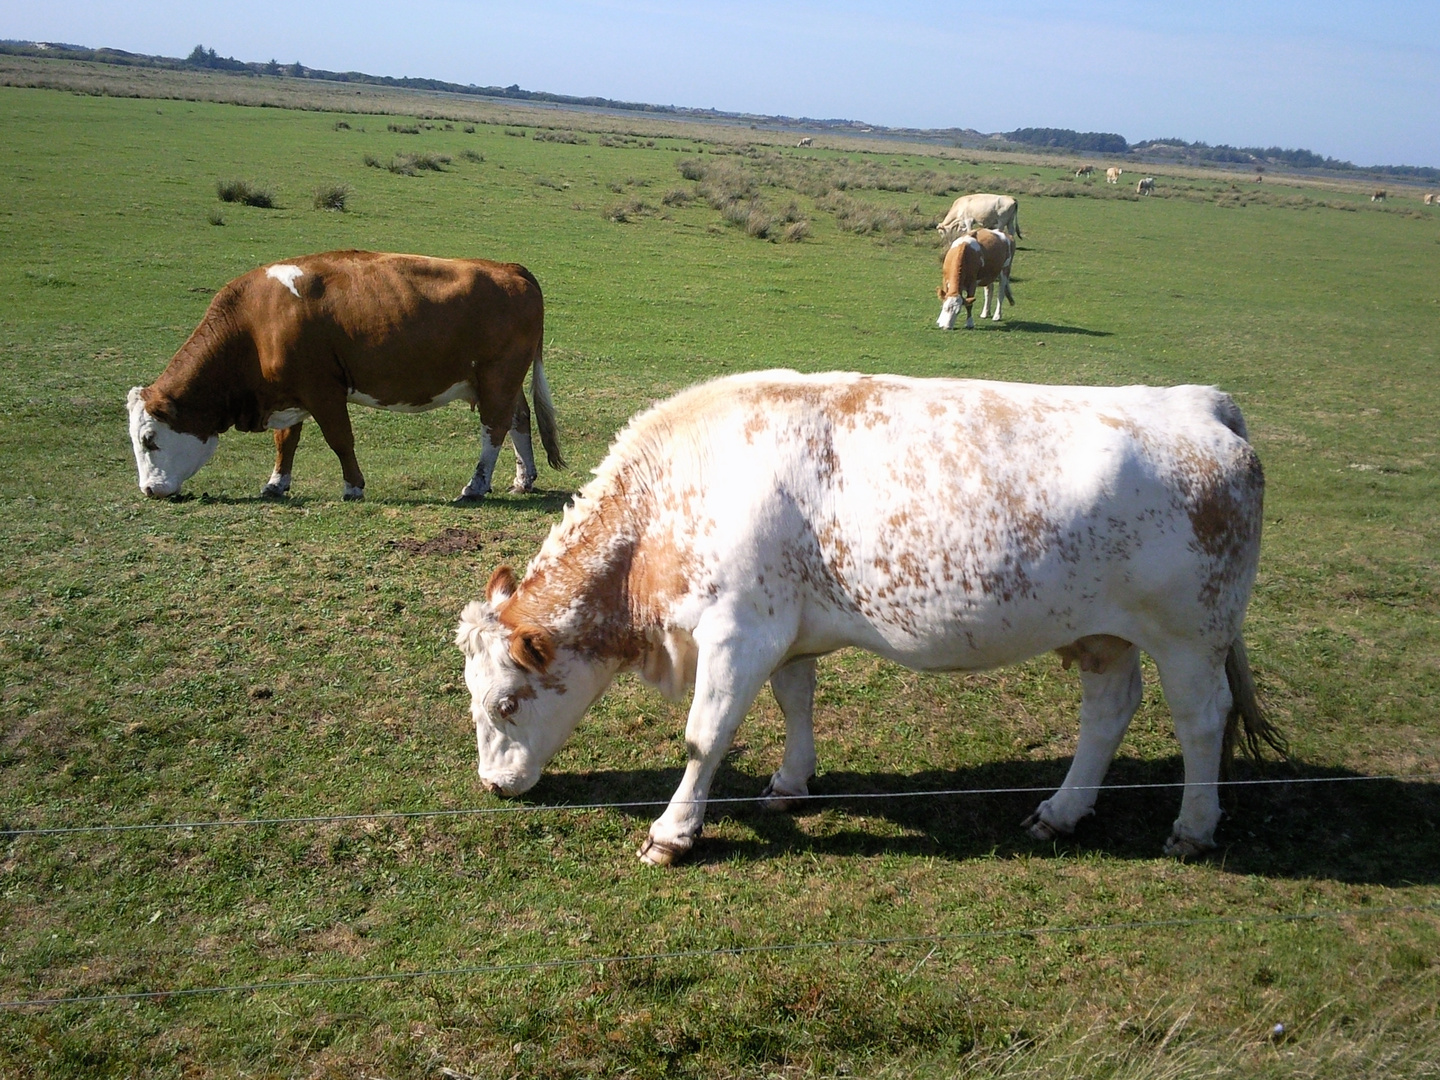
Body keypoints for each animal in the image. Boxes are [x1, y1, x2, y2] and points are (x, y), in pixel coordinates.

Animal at [126, 250, 558, 504]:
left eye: (148, 439)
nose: (149, 490)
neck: (255, 323)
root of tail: (509, 269)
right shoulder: (292, 393)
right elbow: (286, 442)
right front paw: (276, 483)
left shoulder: (322, 391)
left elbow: (340, 440)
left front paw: (353, 485)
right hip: (503, 382)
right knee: (519, 420)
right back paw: (523, 479)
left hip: (497, 378)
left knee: (494, 429)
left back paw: (476, 485)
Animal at [455, 371, 1290, 869]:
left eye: (507, 702)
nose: (492, 785)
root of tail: (1200, 402)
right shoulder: (786, 631)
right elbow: (795, 701)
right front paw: (791, 782)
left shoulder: (739, 631)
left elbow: (704, 735)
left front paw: (672, 832)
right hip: (1102, 632)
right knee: (1110, 710)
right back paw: (1060, 811)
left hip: (1190, 635)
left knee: (1201, 720)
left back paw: (1193, 828)